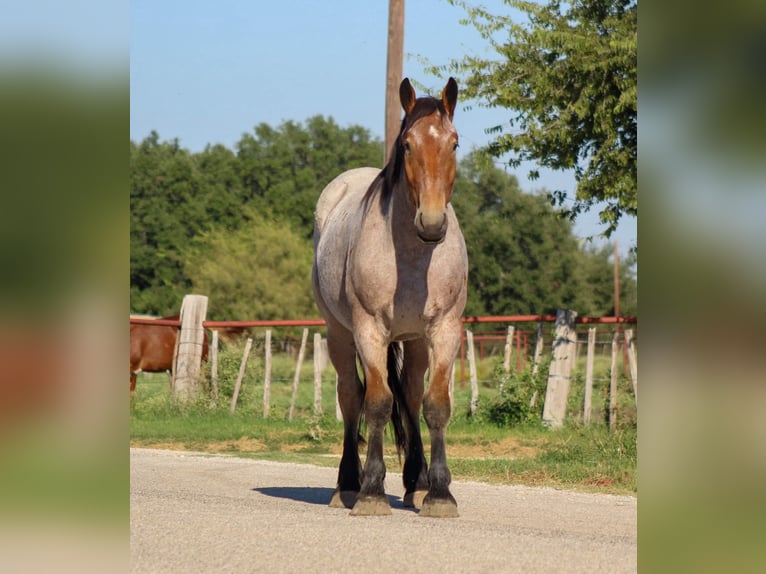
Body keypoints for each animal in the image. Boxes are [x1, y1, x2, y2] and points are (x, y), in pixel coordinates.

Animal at [312, 77, 467, 518]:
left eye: (454, 143)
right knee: (351, 397)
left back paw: (416, 482)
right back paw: (348, 484)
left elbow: (436, 405)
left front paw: (439, 493)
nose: (431, 223)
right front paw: (371, 491)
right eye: (408, 145)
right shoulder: (370, 332)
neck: (413, 256)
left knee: (412, 398)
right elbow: (378, 403)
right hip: (339, 334)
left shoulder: (445, 331)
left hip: (413, 342)